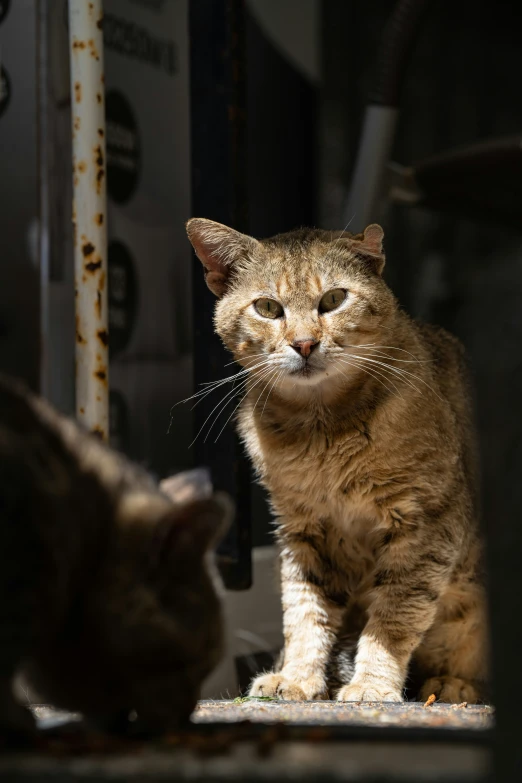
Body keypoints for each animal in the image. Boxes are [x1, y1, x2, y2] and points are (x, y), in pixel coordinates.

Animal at [188, 219, 488, 704]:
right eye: (268, 307)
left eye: (333, 299)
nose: (304, 344)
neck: (321, 432)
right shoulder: (302, 530)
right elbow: (304, 612)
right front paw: (296, 676)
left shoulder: (425, 525)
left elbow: (394, 615)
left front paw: (371, 683)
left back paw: (453, 684)